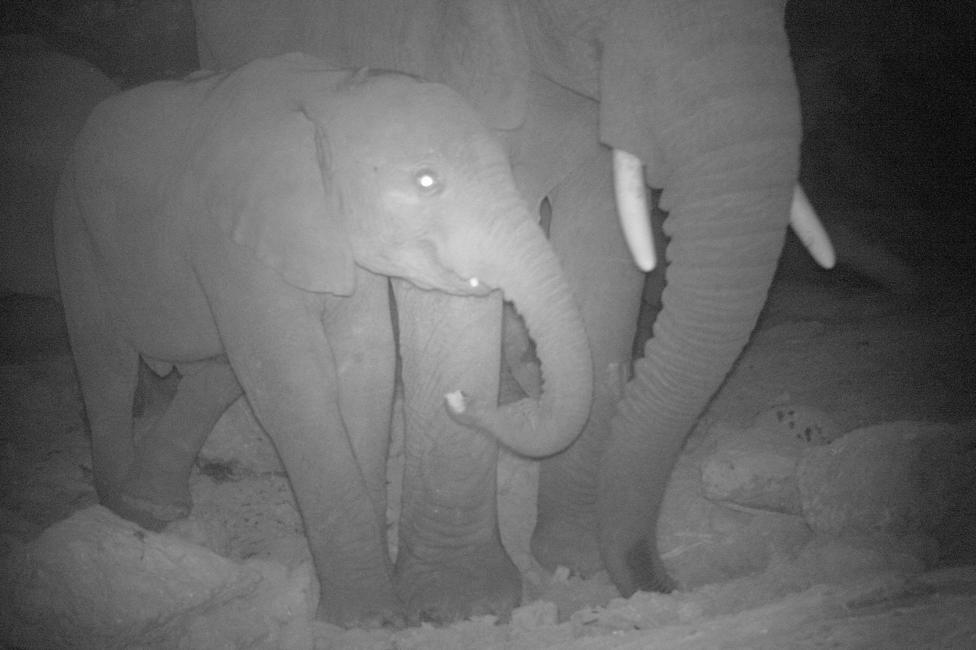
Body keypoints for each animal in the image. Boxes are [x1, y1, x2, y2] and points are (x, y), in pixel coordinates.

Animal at [53, 52, 593, 627]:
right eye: (427, 181)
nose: (463, 398)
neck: (326, 94)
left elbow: (366, 368)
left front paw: (381, 604)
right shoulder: (228, 240)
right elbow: (295, 386)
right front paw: (369, 618)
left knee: (219, 370)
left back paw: (153, 507)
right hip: (76, 224)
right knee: (105, 361)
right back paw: (122, 513)